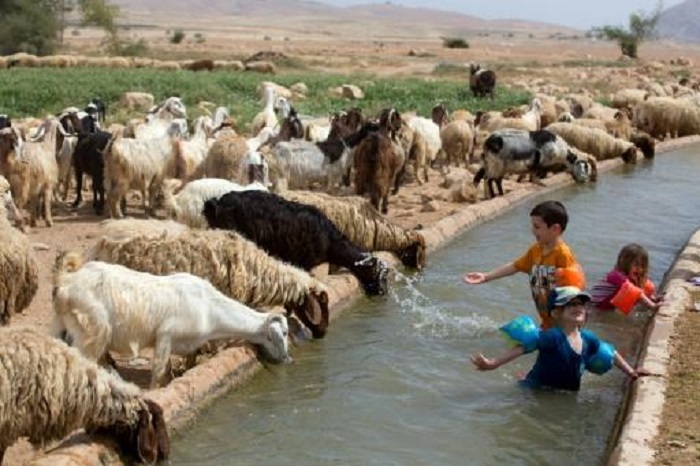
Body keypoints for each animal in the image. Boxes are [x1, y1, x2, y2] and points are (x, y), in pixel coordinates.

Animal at [53, 249, 292, 388]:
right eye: (282, 334)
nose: (287, 360)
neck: (210, 309)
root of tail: (66, 282)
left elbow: (176, 367)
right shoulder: (165, 335)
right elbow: (159, 373)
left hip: (63, 325)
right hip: (93, 331)